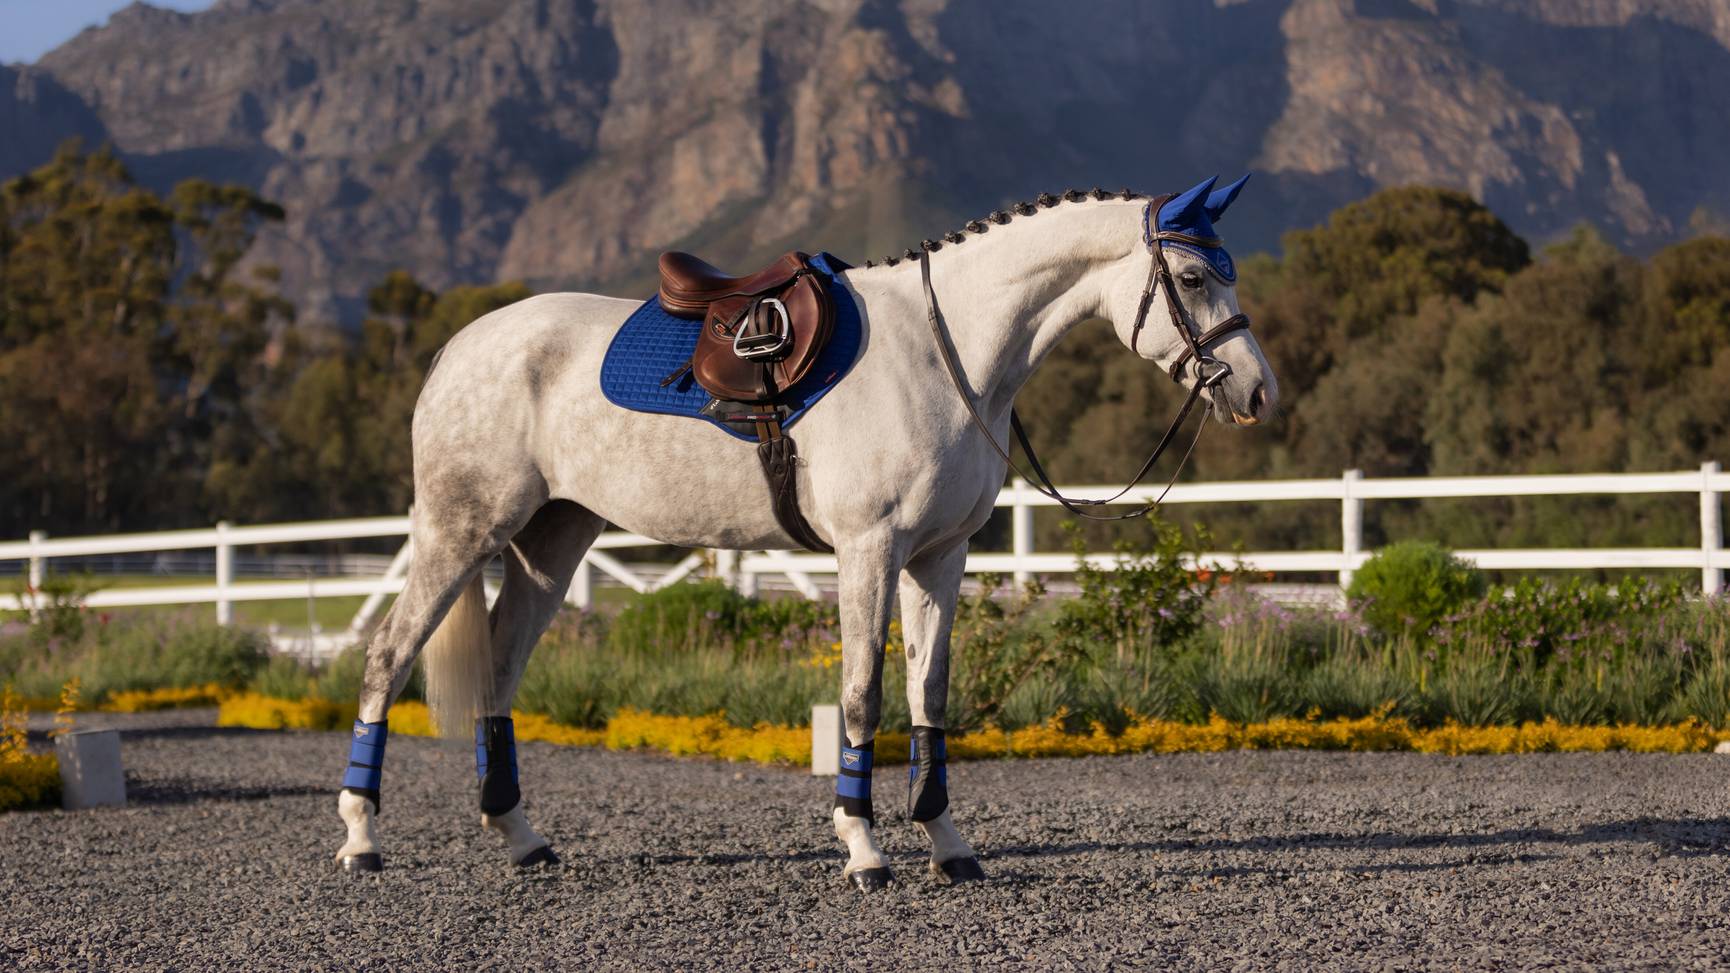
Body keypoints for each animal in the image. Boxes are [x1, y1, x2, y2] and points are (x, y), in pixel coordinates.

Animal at [332, 175, 1278, 890]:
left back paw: (521, 836)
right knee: (388, 657)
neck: (946, 354)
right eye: (1194, 279)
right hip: (461, 532)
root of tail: (457, 349)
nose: (1257, 391)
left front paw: (949, 847)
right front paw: (863, 850)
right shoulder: (870, 550)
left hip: (552, 542)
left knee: (499, 665)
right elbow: (863, 694)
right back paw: (361, 837)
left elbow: (929, 697)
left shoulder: (940, 558)